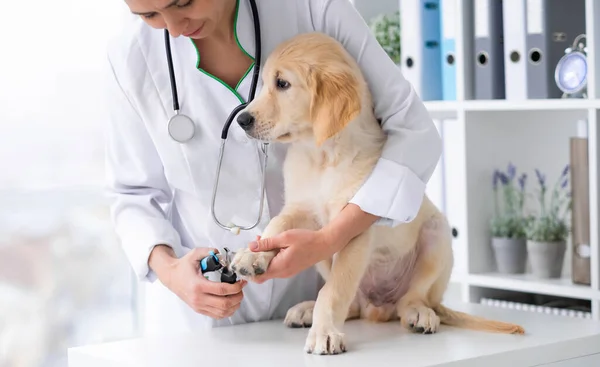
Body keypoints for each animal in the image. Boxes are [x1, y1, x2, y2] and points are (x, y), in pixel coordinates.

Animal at [227, 32, 524, 356]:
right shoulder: (302, 210)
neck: (323, 155)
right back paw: (306, 309)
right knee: (354, 304)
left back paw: (419, 314)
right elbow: (277, 224)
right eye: (265, 82)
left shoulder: (354, 228)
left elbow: (335, 290)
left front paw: (325, 332)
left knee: (412, 298)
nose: (242, 120)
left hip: (437, 237)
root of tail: (379, 307)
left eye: (282, 83)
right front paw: (252, 255)